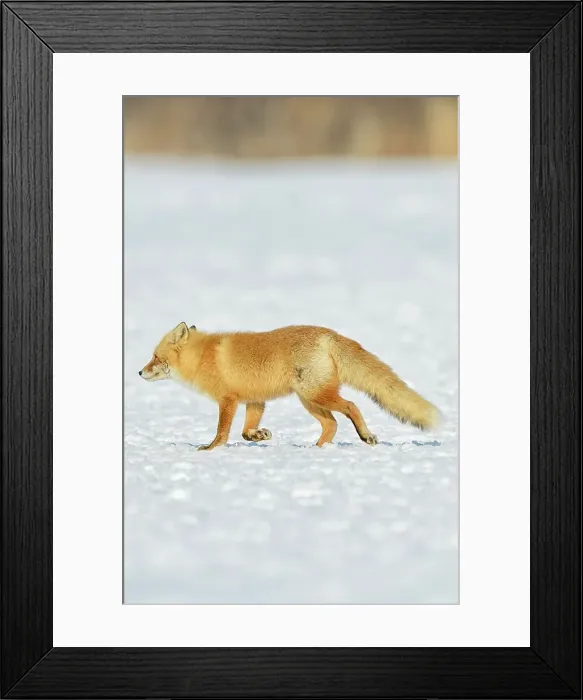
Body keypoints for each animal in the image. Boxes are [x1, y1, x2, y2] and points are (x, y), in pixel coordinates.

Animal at [139, 323, 440, 451]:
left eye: (155, 357)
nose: (139, 372)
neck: (203, 357)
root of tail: (329, 334)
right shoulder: (255, 400)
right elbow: (246, 432)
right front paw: (260, 436)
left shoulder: (228, 400)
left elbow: (222, 432)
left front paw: (210, 449)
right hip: (309, 401)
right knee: (331, 424)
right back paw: (317, 450)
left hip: (315, 394)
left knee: (351, 406)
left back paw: (364, 436)